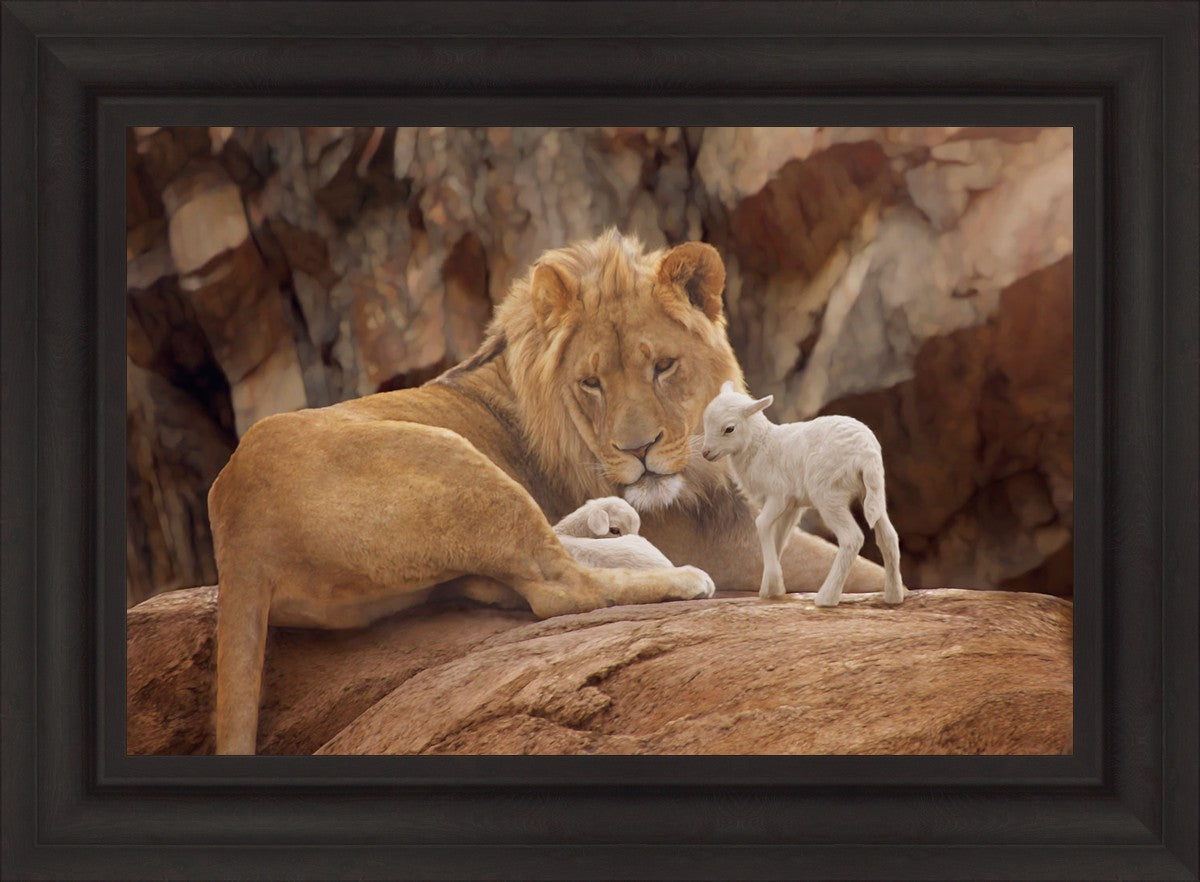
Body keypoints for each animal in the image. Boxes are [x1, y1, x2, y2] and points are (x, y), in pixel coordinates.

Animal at [700, 382, 904, 607]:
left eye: (729, 429)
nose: (705, 453)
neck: (761, 445)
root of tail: (866, 453)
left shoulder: (778, 495)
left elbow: (761, 524)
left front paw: (773, 584)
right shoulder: (792, 505)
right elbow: (779, 538)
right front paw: (771, 588)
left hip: (828, 494)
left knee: (852, 538)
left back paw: (826, 597)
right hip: (873, 492)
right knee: (889, 537)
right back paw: (894, 596)